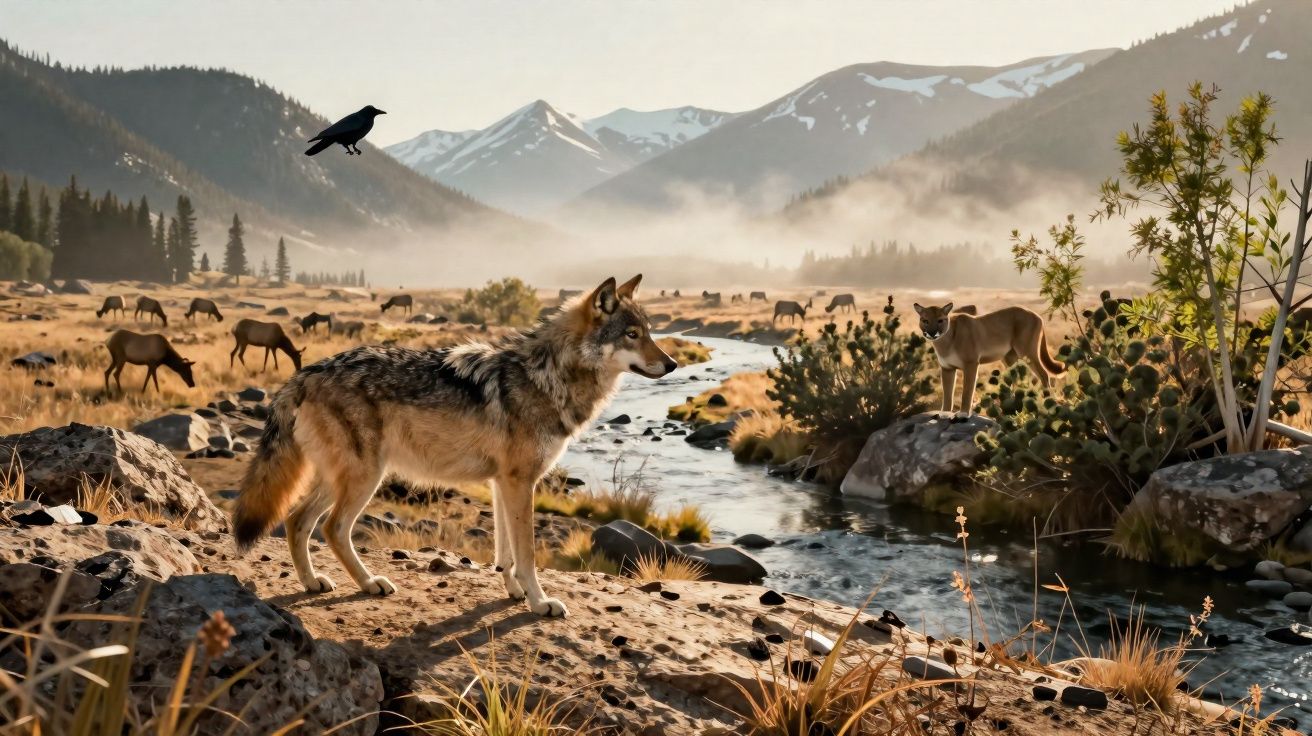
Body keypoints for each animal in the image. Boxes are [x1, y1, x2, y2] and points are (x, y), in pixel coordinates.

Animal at [231, 275, 675, 617]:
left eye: (649, 332)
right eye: (632, 335)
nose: (672, 364)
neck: (547, 376)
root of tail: (304, 374)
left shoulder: (503, 483)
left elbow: (506, 554)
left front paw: (514, 593)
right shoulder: (520, 482)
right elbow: (528, 555)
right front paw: (539, 603)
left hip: (341, 478)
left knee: (296, 521)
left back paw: (312, 583)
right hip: (365, 478)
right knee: (332, 528)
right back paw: (370, 583)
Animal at [913, 302, 1064, 413]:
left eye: (940, 320)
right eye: (925, 320)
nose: (932, 333)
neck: (946, 340)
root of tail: (1035, 314)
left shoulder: (971, 364)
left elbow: (967, 391)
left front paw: (963, 414)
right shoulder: (947, 368)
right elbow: (947, 392)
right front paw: (944, 414)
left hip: (1027, 352)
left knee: (1044, 374)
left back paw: (1049, 402)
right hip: (1009, 358)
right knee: (1016, 377)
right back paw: (1012, 403)